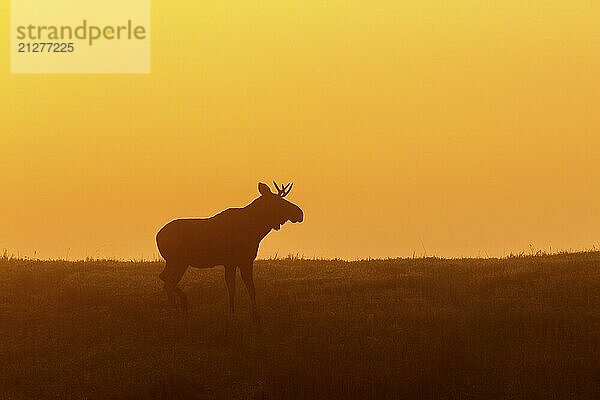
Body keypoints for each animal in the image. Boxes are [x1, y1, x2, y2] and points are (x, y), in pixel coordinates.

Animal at [156, 183, 302, 320]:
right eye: (279, 202)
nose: (300, 213)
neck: (256, 230)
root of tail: (158, 237)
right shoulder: (238, 261)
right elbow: (239, 287)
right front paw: (246, 315)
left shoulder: (238, 262)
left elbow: (245, 287)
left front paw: (243, 313)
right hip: (179, 261)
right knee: (169, 282)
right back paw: (178, 308)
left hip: (174, 262)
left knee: (164, 278)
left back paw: (178, 307)